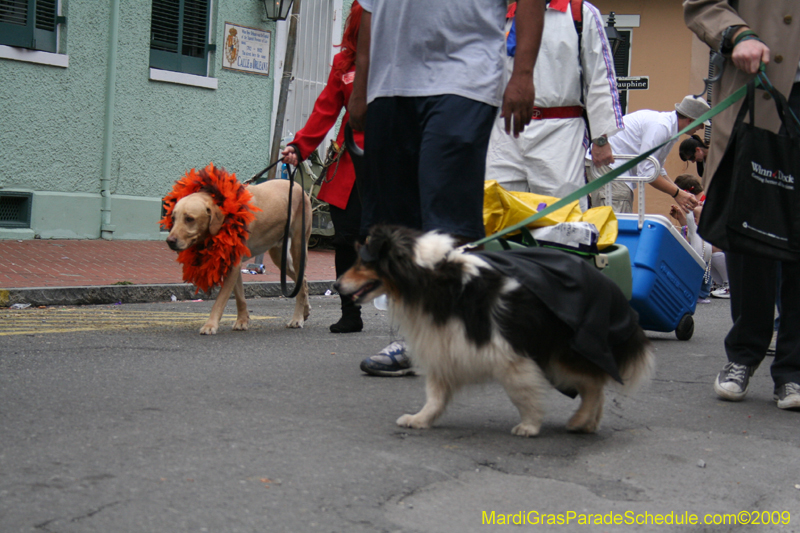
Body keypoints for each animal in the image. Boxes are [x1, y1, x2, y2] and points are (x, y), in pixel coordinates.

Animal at [166, 181, 310, 334]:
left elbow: (220, 301)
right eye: (173, 218)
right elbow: (240, 298)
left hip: (298, 247)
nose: (170, 241)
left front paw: (210, 325)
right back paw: (305, 311)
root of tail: (297, 185)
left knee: (301, 284)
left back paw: (297, 318)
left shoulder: (233, 266)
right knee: (303, 280)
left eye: (189, 219)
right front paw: (242, 321)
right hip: (278, 255)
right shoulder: (233, 265)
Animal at [334, 224, 652, 436]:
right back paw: (587, 423)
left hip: (564, 352)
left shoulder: (509, 354)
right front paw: (421, 419)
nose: (336, 285)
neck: (434, 279)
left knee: (594, 385)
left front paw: (530, 425)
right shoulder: (444, 342)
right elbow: (435, 393)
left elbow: (522, 393)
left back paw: (580, 420)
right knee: (594, 386)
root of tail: (616, 293)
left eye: (362, 262)